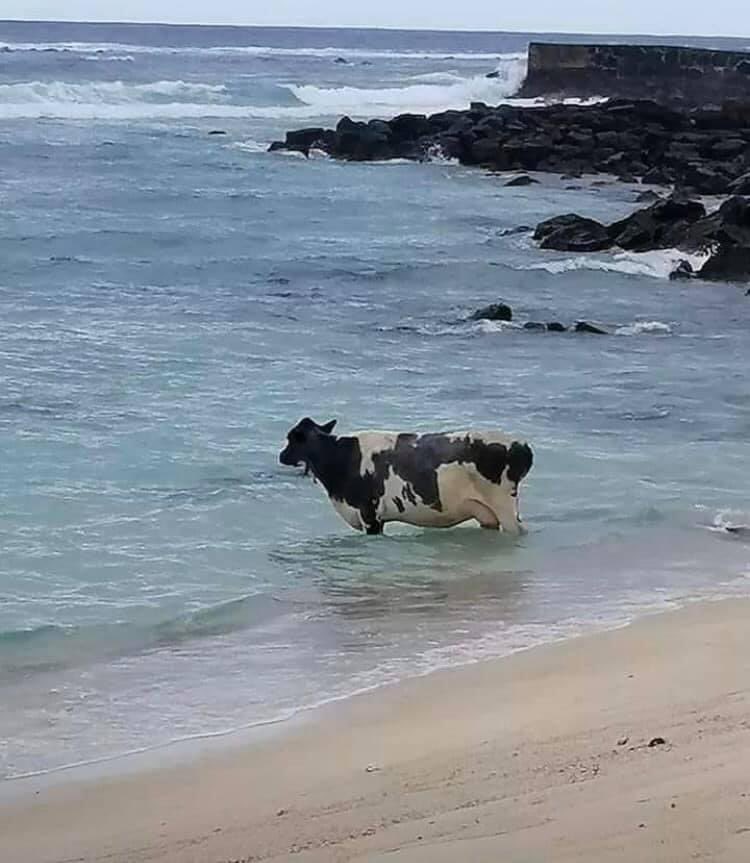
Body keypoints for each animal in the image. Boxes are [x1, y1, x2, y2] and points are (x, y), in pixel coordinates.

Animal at [279, 417, 533, 536]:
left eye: (292, 437)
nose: (281, 455)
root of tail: (521, 443)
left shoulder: (370, 514)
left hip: (504, 505)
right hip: (488, 512)